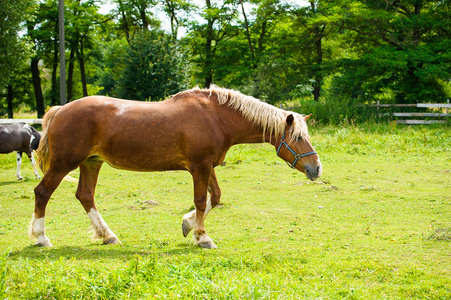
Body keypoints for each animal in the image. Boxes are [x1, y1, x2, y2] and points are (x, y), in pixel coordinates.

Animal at [29, 86, 322, 248]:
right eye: (298, 137)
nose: (316, 168)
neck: (216, 117)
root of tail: (59, 110)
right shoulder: (200, 167)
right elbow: (202, 200)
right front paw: (203, 238)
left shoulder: (208, 166)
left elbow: (215, 197)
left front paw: (188, 225)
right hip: (64, 164)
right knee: (43, 192)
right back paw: (41, 238)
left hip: (91, 163)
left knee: (85, 195)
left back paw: (108, 236)